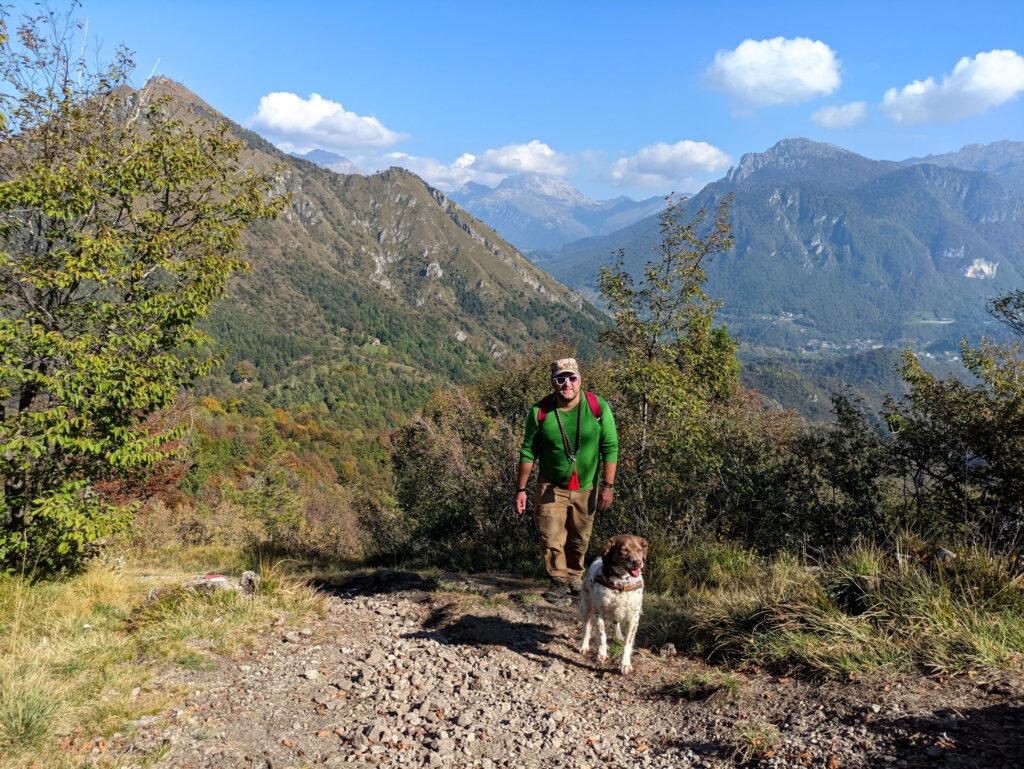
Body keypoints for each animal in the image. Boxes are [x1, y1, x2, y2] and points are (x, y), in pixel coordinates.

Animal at [577, 536, 647, 671]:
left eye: (639, 550)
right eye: (624, 550)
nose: (638, 563)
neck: (621, 583)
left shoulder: (634, 617)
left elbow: (627, 642)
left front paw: (625, 664)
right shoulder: (598, 612)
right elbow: (601, 635)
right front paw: (602, 653)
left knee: (616, 623)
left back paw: (619, 636)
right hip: (586, 607)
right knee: (587, 629)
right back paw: (584, 646)